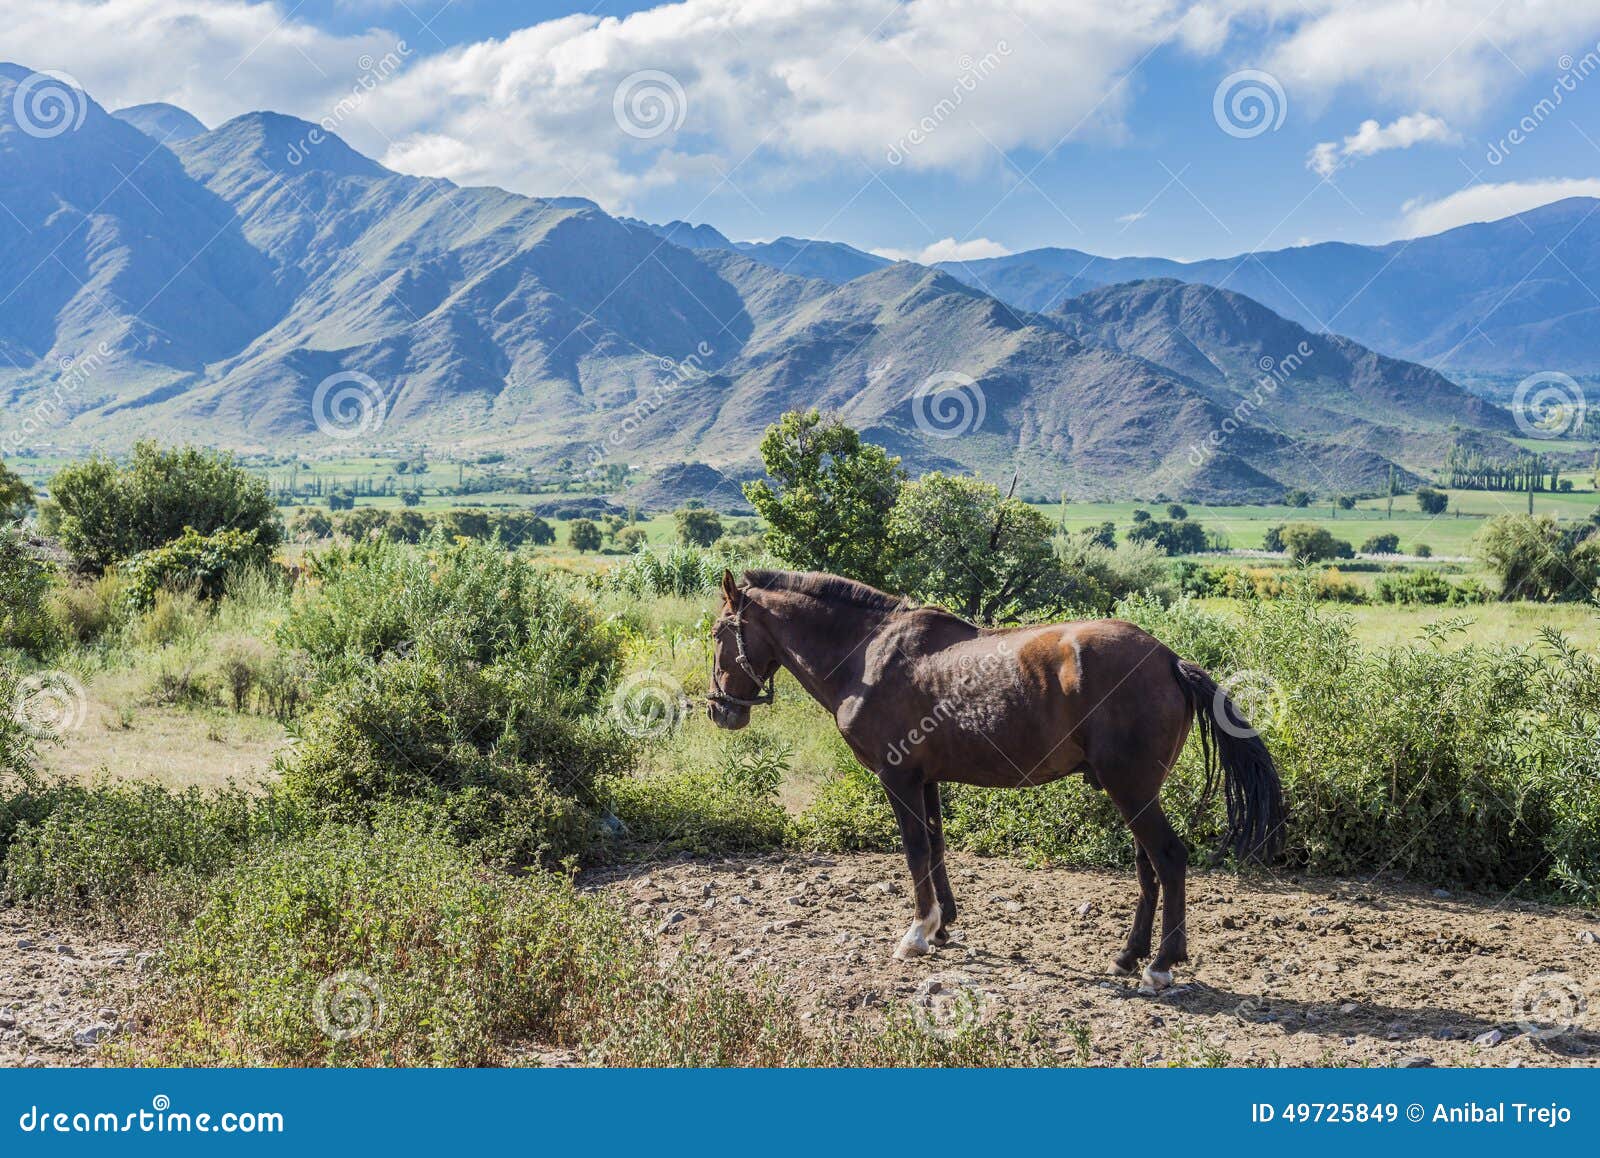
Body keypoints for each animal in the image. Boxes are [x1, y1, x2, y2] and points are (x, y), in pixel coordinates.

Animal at [713, 566, 1286, 991]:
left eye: (719, 632)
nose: (721, 709)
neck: (868, 655)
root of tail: (1168, 659)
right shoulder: (927, 779)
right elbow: (936, 847)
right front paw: (943, 924)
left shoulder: (898, 777)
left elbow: (915, 850)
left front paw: (917, 933)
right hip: (1138, 792)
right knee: (1149, 867)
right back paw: (1129, 955)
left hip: (1131, 790)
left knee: (1168, 858)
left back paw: (1161, 965)